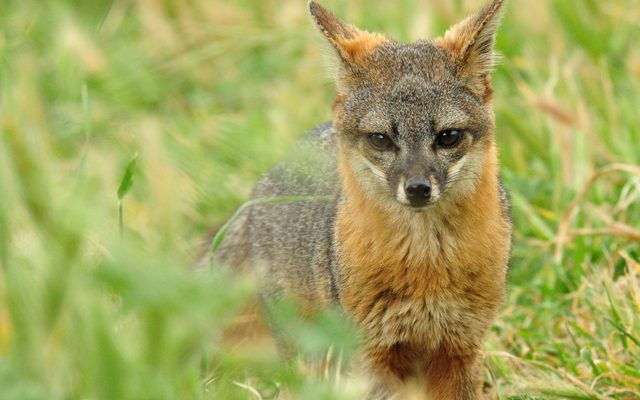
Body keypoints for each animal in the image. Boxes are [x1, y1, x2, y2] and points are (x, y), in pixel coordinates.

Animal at [205, 0, 512, 398]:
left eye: (448, 136)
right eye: (380, 139)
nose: (417, 188)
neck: (426, 266)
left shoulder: (460, 349)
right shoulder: (374, 356)